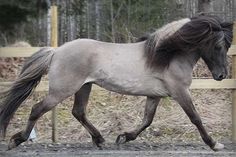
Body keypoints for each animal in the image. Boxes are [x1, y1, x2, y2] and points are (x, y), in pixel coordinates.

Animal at [0, 15, 232, 151]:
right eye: (219, 45)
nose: (221, 75)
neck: (167, 55)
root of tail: (56, 51)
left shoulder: (155, 95)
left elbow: (147, 120)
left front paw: (124, 137)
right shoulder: (180, 91)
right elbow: (195, 118)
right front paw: (214, 144)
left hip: (84, 87)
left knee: (78, 112)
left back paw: (100, 140)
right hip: (62, 90)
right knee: (37, 109)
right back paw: (16, 140)